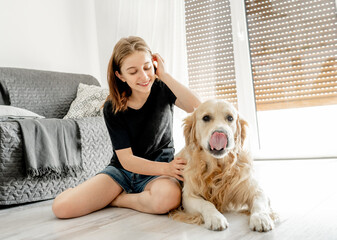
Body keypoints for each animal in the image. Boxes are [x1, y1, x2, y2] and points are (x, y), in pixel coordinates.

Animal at [171, 99, 276, 231]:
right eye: (206, 118)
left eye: (230, 118)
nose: (220, 133)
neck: (218, 168)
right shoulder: (189, 196)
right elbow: (206, 203)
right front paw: (215, 217)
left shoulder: (256, 190)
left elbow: (259, 204)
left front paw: (260, 218)